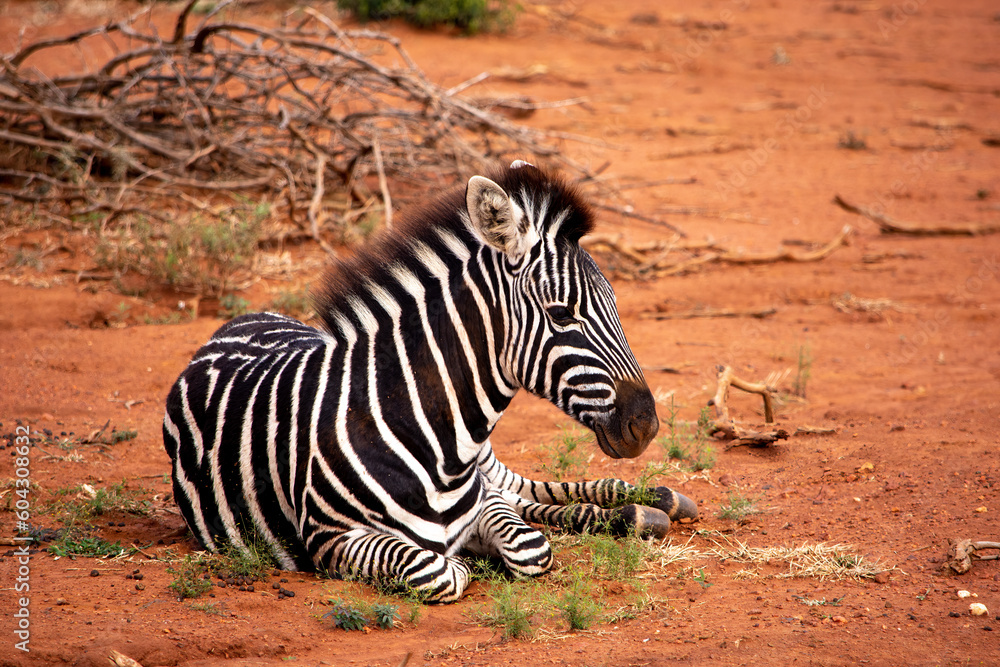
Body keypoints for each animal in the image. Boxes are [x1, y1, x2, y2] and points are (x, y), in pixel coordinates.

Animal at [163, 161, 698, 602]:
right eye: (562, 314)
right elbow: (442, 570)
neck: (436, 443)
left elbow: (529, 545)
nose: (646, 424)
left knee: (522, 489)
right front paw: (466, 562)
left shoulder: (481, 501)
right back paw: (639, 511)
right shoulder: (330, 538)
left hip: (491, 463)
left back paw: (654, 501)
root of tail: (235, 322)